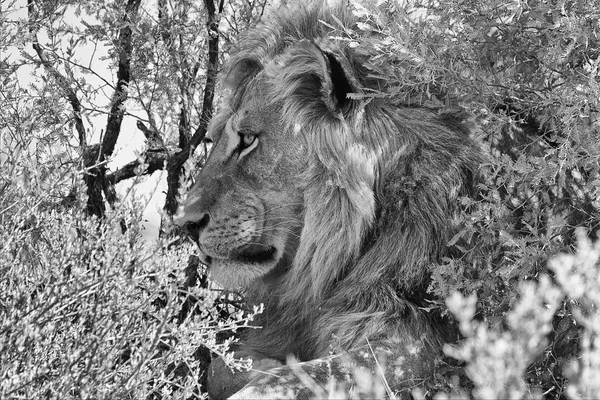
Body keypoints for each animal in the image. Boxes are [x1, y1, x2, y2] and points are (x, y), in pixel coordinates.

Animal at [177, 2, 482, 396]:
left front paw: (269, 371)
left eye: (247, 139)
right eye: (215, 139)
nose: (186, 224)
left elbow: (294, 380)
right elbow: (220, 367)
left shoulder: (418, 342)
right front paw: (255, 363)